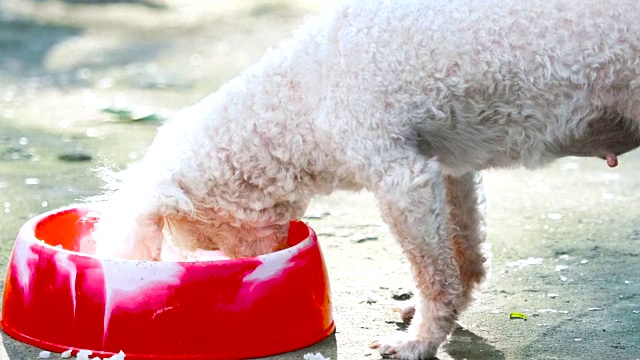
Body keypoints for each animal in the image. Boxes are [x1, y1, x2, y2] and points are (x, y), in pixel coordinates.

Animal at [92, 1, 640, 358]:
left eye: (206, 240)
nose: (252, 270)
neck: (303, 96)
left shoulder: (403, 178)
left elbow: (432, 272)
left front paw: (420, 342)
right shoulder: (448, 165)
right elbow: (461, 253)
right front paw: (447, 312)